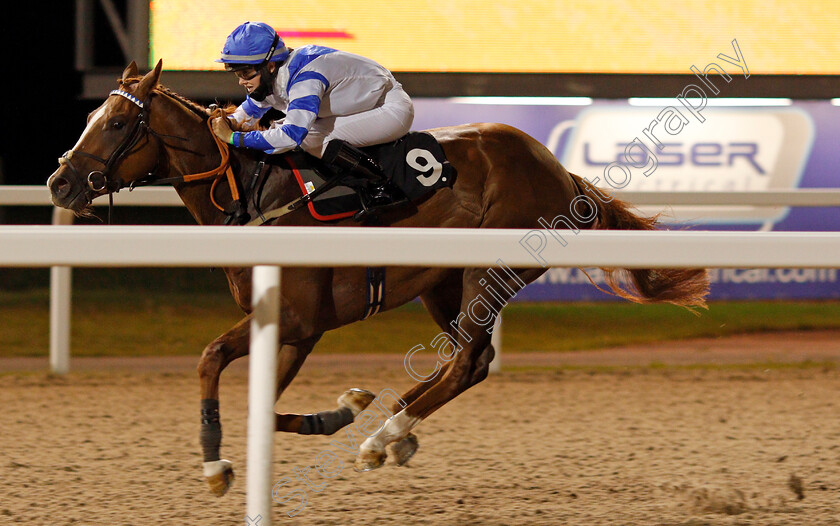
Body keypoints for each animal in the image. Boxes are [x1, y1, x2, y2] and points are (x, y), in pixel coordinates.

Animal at [47, 62, 708, 500]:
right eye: (93, 117)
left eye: (115, 124)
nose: (60, 183)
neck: (255, 193)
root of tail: (559, 170)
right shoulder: (286, 325)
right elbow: (250, 395)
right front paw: (339, 411)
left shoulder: (298, 319)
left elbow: (224, 370)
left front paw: (224, 465)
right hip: (442, 284)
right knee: (473, 360)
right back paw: (391, 431)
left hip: (486, 272)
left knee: (465, 362)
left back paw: (384, 432)